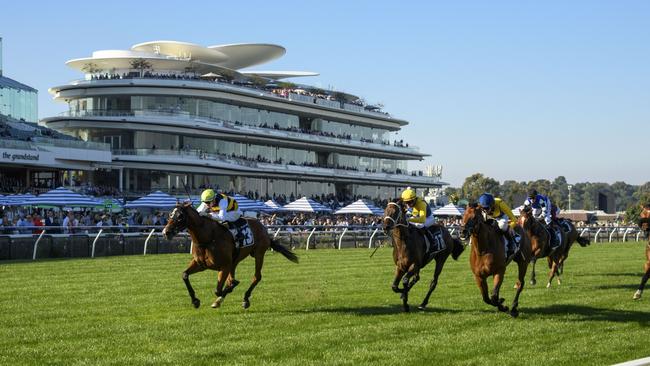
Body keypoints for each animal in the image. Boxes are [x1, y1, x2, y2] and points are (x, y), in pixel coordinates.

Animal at [161, 203, 298, 308]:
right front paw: (195, 301)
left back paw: (245, 299)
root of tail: (262, 226)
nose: (166, 232)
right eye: (170, 215)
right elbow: (185, 275)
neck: (208, 238)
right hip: (235, 261)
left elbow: (219, 289)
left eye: (180, 216)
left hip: (259, 254)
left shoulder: (224, 266)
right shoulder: (201, 264)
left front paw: (228, 290)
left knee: (256, 277)